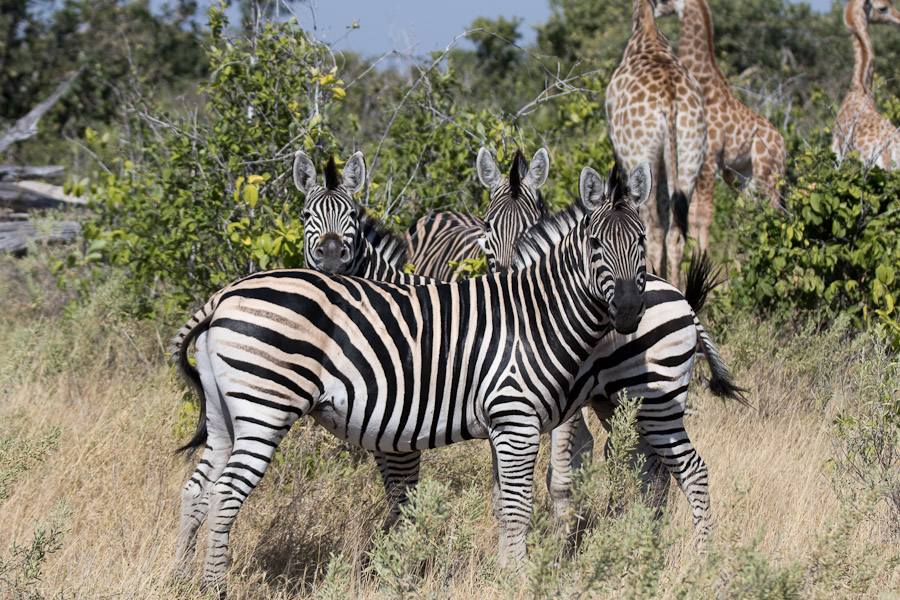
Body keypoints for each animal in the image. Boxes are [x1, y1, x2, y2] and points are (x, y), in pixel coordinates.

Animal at [172, 158, 652, 592]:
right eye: (595, 243)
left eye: (643, 239)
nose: (630, 312)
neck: (537, 312)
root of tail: (223, 296)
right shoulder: (515, 418)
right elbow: (514, 508)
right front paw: (518, 579)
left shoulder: (501, 422)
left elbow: (500, 505)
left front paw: (501, 574)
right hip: (265, 408)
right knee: (224, 494)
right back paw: (213, 587)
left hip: (223, 416)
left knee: (197, 490)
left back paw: (179, 578)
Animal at [474, 148, 748, 528]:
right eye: (487, 225)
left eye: (531, 226)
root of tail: (682, 299)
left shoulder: (563, 403)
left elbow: (561, 474)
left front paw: (563, 535)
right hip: (618, 403)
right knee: (652, 466)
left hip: (656, 399)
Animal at [652, 0, 788, 253]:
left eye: (664, 1)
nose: (653, 9)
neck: (704, 87)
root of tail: (784, 144)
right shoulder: (692, 160)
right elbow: (692, 212)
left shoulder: (708, 160)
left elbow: (704, 215)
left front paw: (701, 258)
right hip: (745, 176)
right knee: (749, 211)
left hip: (769, 173)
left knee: (775, 212)